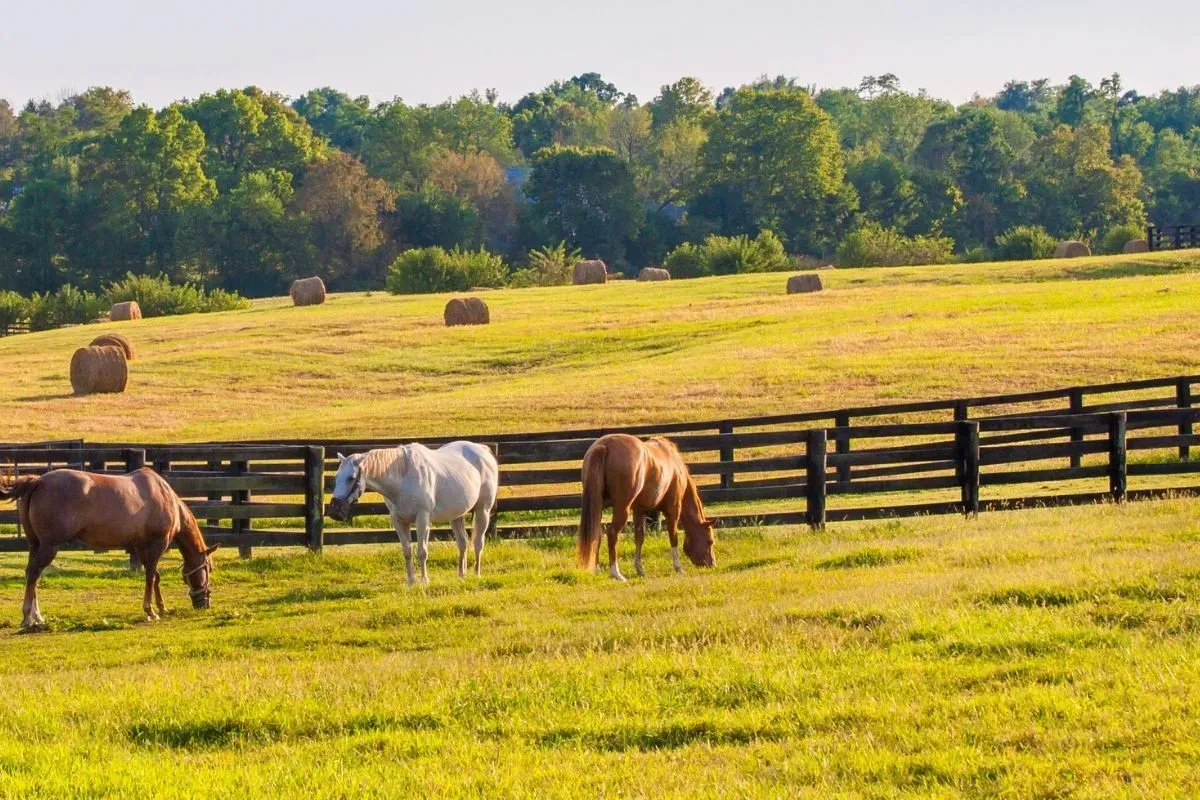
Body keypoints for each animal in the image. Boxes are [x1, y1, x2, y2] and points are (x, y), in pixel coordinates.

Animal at [0, 467, 219, 630]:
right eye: (208, 569)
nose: (205, 604)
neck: (165, 497)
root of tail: (38, 481)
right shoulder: (156, 546)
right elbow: (150, 577)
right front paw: (151, 611)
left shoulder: (142, 548)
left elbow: (155, 577)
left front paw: (161, 608)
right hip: (49, 546)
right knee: (34, 573)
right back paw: (27, 617)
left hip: (35, 544)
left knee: (31, 574)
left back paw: (37, 616)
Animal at [327, 441, 499, 586]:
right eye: (336, 476)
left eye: (351, 478)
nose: (334, 510)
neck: (404, 478)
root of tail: (483, 450)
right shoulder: (398, 520)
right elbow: (407, 551)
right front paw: (411, 582)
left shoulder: (422, 519)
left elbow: (422, 552)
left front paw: (424, 580)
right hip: (456, 516)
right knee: (462, 543)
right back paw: (461, 574)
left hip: (483, 510)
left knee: (478, 543)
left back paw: (476, 573)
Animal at [577, 434, 716, 581]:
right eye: (710, 541)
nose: (712, 564)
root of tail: (604, 445)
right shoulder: (673, 510)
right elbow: (673, 537)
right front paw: (678, 567)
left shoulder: (639, 510)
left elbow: (639, 538)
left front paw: (640, 569)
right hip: (622, 508)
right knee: (612, 533)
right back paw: (616, 573)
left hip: (598, 506)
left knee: (596, 533)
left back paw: (597, 569)